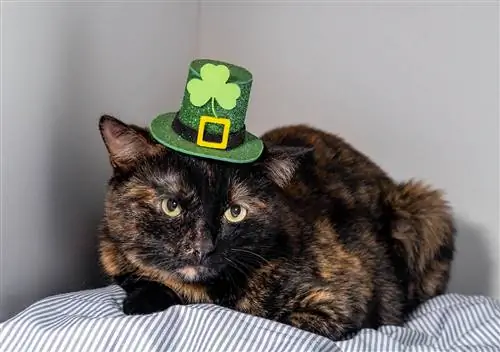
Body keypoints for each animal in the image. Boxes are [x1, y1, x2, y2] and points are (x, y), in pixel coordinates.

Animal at [95, 114, 456, 340]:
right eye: (172, 205)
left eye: (235, 212)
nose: (202, 247)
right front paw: (140, 299)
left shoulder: (336, 305)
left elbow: (263, 316)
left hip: (426, 207)